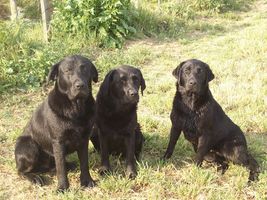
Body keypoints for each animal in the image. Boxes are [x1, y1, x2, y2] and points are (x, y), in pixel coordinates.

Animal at [14, 54, 98, 191]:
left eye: (85, 69)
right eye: (67, 70)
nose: (80, 85)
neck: (76, 109)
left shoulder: (84, 138)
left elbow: (84, 163)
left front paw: (87, 181)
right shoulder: (58, 141)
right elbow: (61, 168)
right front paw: (63, 188)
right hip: (29, 146)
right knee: (21, 171)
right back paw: (35, 178)